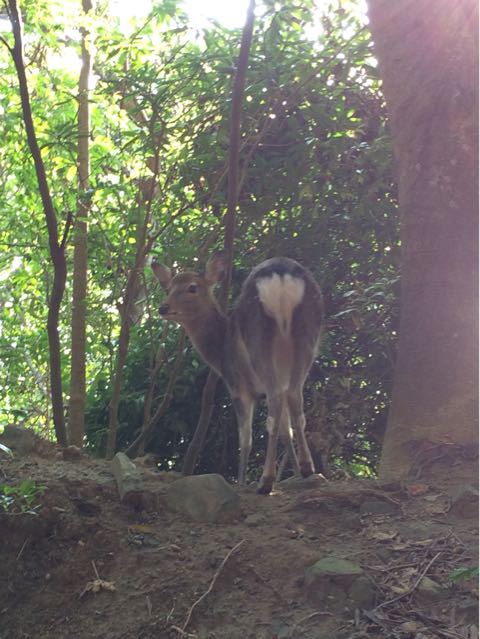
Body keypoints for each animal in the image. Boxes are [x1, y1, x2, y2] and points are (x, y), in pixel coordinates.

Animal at [152, 251, 324, 496]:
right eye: (168, 288)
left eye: (192, 287)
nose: (163, 308)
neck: (219, 350)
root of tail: (280, 274)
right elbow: (286, 429)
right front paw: (296, 474)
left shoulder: (238, 386)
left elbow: (245, 438)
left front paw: (242, 482)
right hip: (308, 333)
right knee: (295, 401)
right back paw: (308, 469)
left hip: (258, 339)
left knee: (274, 404)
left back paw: (265, 481)